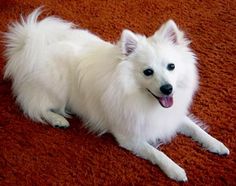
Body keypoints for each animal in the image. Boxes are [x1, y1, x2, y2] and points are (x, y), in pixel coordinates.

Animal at [3, 8, 229, 182]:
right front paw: (175, 170)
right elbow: (156, 152)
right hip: (56, 89)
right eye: (148, 72)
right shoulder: (129, 137)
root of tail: (28, 44)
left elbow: (196, 129)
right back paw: (58, 119)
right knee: (34, 108)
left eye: (171, 67)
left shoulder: (170, 117)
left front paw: (216, 145)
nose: (167, 88)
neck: (142, 99)